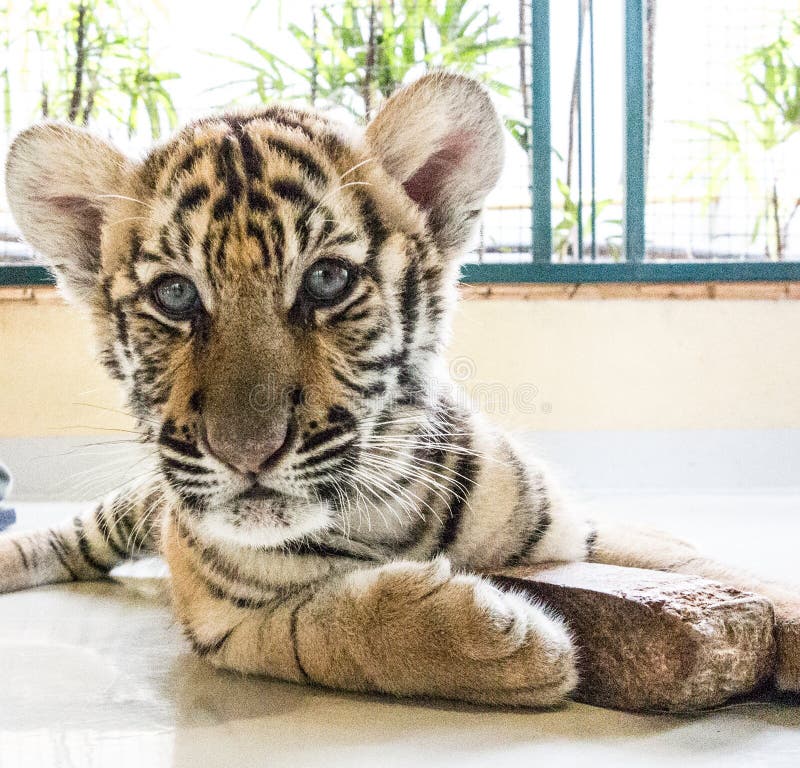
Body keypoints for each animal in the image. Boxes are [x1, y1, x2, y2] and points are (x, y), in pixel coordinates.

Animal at [3, 72, 798, 706]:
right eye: (175, 295)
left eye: (326, 280)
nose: (246, 454)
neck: (381, 506)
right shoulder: (230, 619)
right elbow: (331, 629)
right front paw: (505, 643)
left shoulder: (575, 530)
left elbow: (716, 565)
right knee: (70, 537)